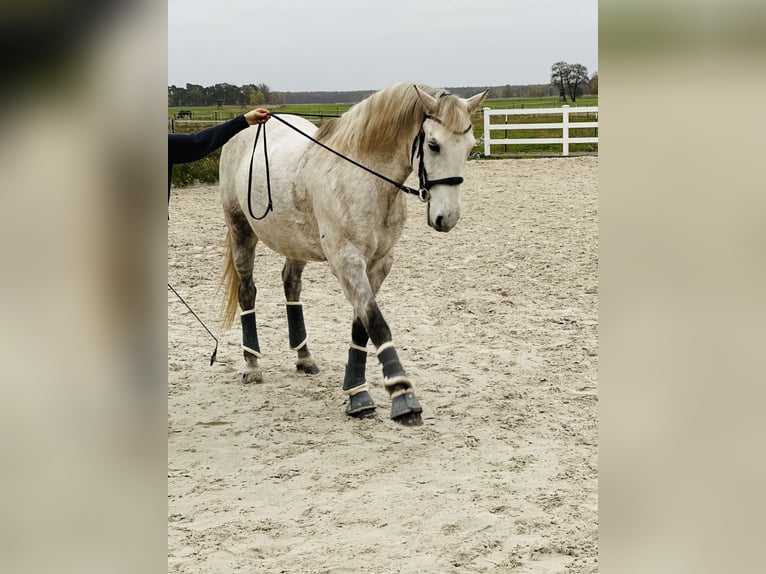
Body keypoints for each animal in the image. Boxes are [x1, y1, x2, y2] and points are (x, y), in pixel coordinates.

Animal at [219, 84, 488, 428]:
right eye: (433, 144)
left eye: (469, 147)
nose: (447, 218)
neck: (363, 179)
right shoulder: (347, 261)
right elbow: (376, 322)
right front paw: (402, 396)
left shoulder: (379, 264)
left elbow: (361, 325)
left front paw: (356, 394)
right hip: (241, 230)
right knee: (248, 292)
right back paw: (252, 365)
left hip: (295, 241)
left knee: (291, 285)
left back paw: (304, 358)